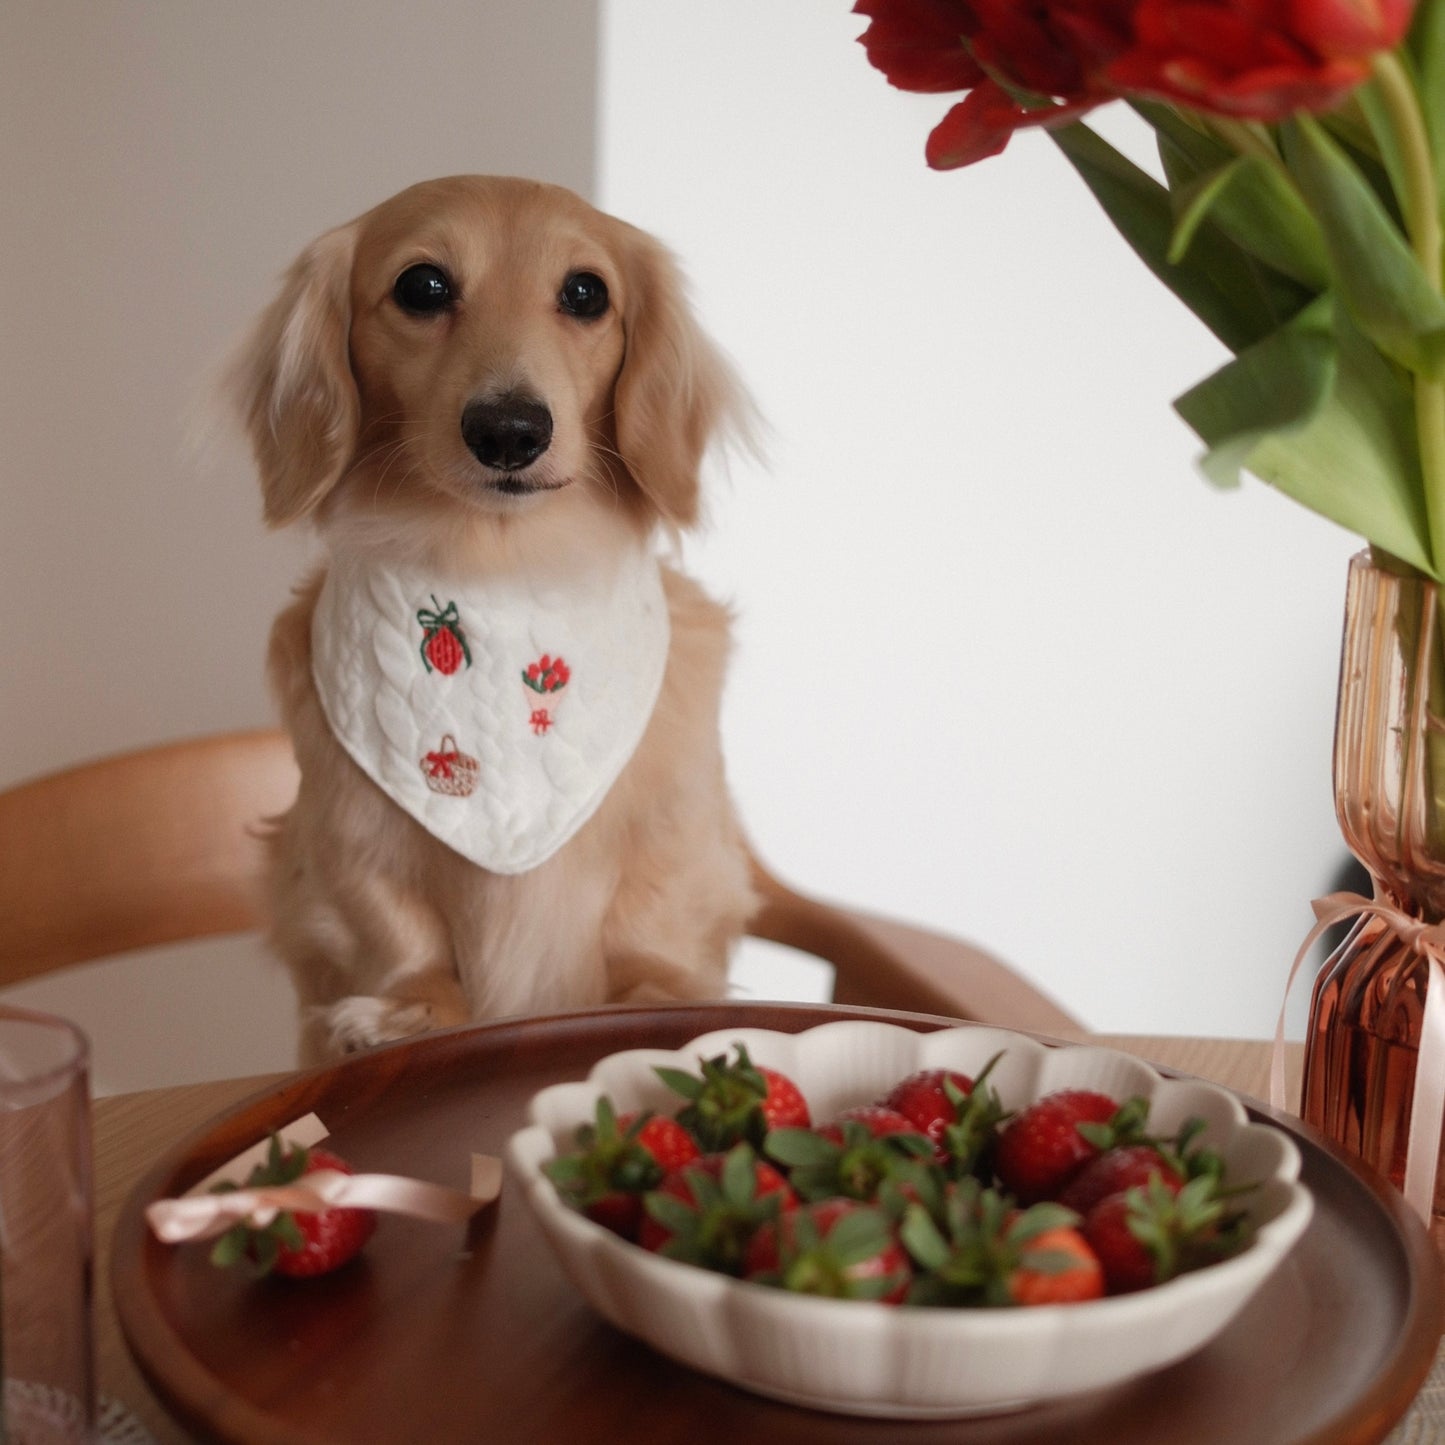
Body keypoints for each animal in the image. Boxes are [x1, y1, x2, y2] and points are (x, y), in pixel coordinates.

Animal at [228, 177, 757, 1063]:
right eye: (422, 286)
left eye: (586, 293)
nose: (509, 430)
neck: (499, 572)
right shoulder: (349, 830)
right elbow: (394, 928)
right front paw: (406, 1012)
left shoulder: (676, 835)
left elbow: (652, 939)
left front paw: (659, 1006)